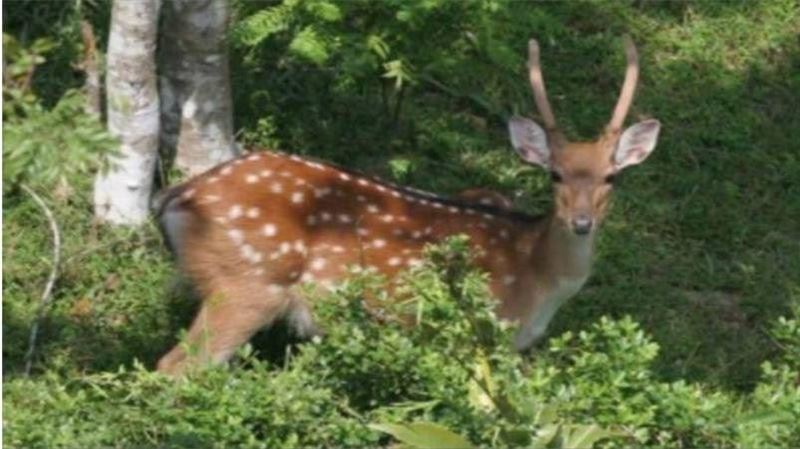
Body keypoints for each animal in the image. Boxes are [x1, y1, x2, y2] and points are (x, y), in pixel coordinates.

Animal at [154, 37, 661, 375]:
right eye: (555, 174)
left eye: (611, 177)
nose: (581, 222)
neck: (540, 279)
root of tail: (178, 199)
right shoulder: (479, 330)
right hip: (247, 284)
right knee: (175, 368)